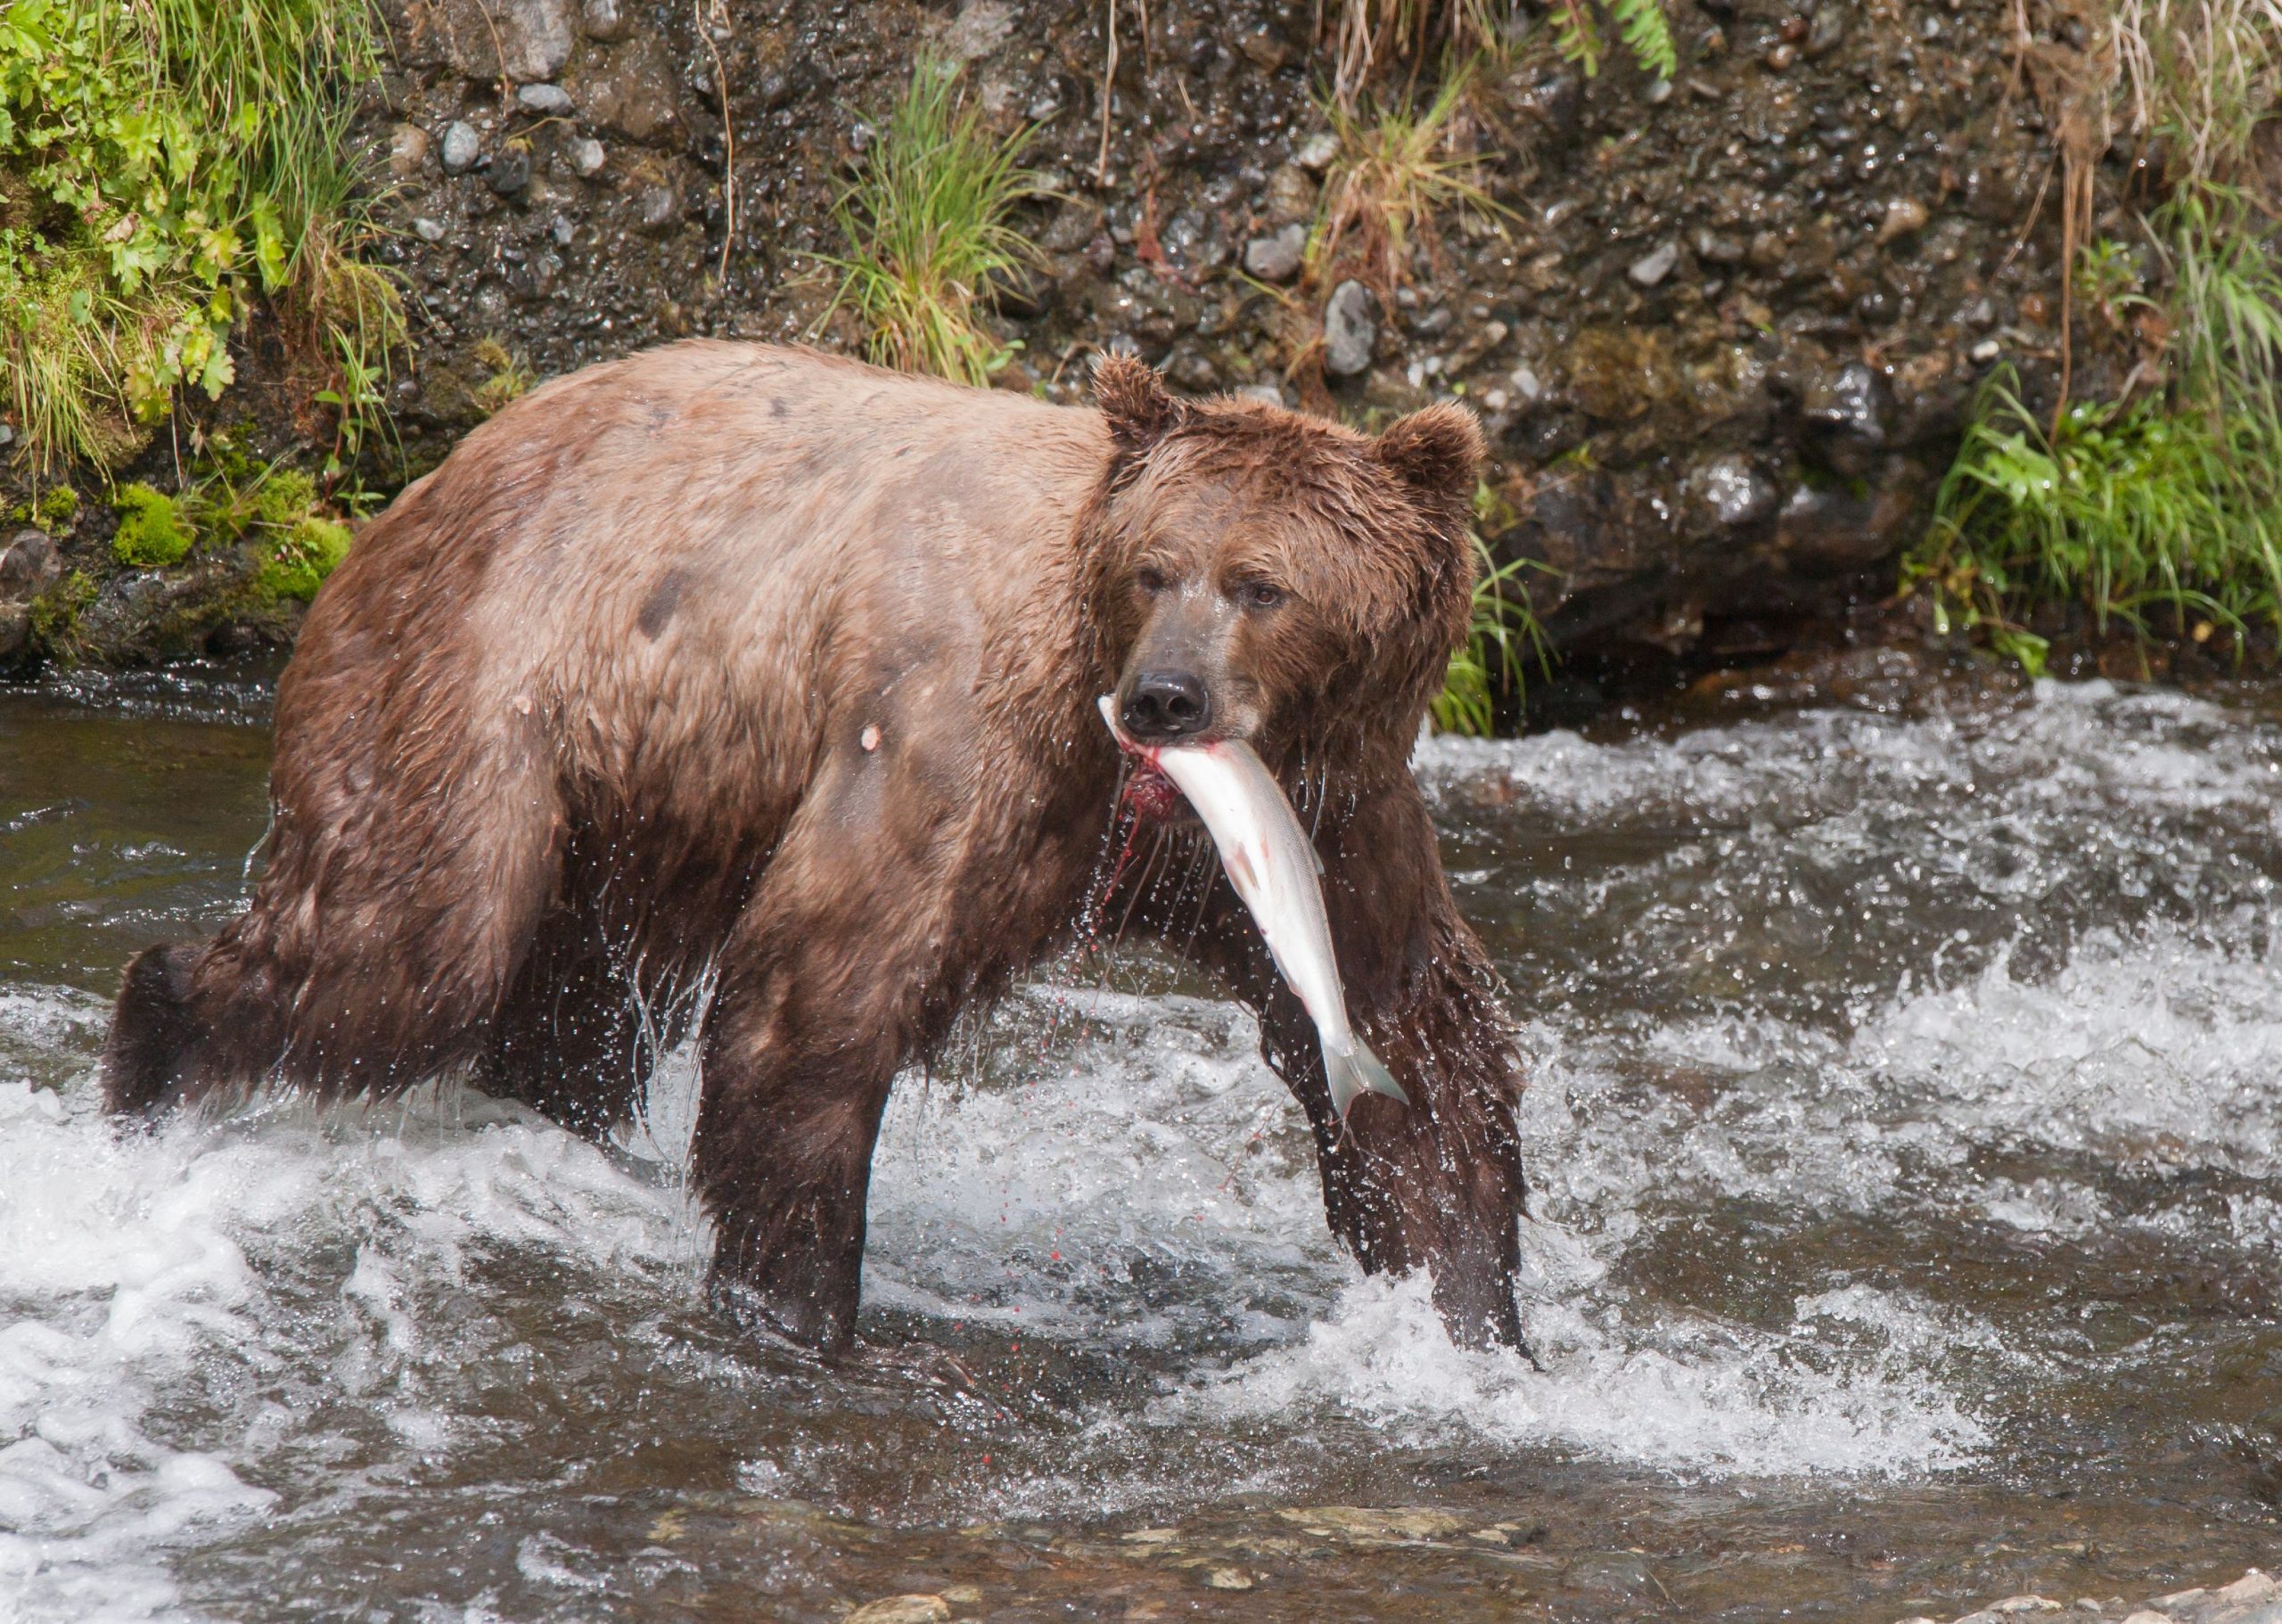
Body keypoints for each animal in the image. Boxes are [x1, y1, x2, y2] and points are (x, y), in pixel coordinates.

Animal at [102, 342, 1530, 1354]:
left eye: (1263, 584)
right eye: (1155, 567)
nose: (1166, 698)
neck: (1140, 793)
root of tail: (408, 490)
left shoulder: (1334, 817)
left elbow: (1416, 1044)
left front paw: (1470, 1320)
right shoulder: (954, 740)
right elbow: (821, 1002)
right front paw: (798, 1313)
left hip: (634, 812)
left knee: (561, 1018)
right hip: (479, 679)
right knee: (405, 946)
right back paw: (149, 1065)